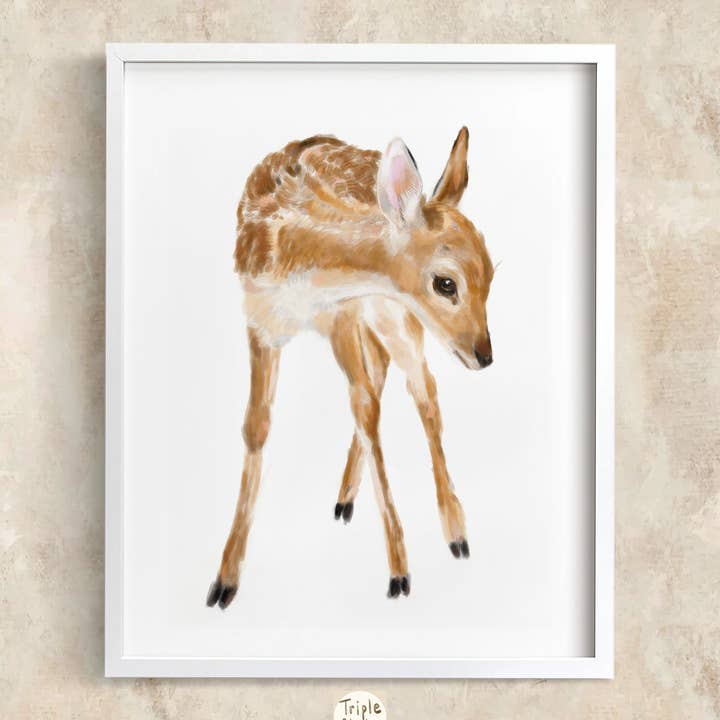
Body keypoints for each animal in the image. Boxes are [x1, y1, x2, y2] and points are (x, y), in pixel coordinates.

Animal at [206, 127, 494, 610]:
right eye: (446, 283)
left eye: (491, 276)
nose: (485, 355)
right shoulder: (261, 320)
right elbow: (256, 426)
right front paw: (224, 579)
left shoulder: (344, 311)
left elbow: (367, 409)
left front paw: (400, 572)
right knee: (383, 379)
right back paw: (345, 500)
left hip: (392, 316)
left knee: (421, 390)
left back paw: (456, 533)